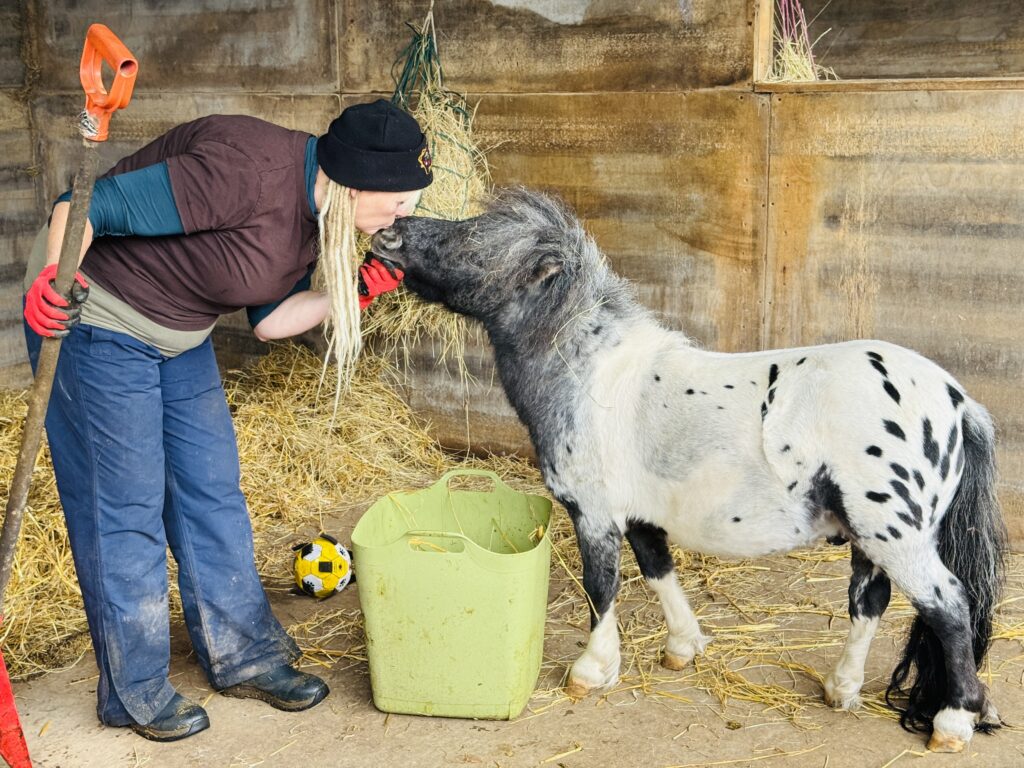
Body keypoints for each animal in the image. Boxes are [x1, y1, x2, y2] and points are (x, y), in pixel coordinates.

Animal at [369, 187, 1007, 752]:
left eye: (476, 241)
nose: (388, 233)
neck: (590, 376)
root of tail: (957, 402)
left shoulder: (594, 516)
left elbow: (602, 588)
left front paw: (592, 671)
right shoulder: (640, 518)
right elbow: (659, 572)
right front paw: (682, 648)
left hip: (896, 537)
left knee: (949, 607)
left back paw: (953, 723)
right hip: (868, 539)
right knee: (869, 603)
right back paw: (841, 689)